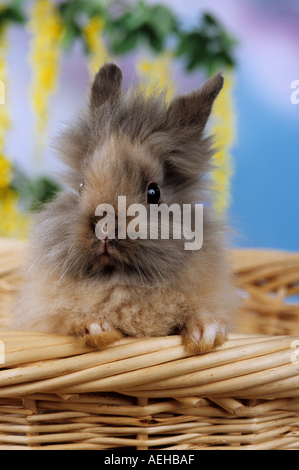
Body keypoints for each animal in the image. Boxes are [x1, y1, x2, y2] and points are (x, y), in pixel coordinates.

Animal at [14, 63, 239, 356]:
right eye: (82, 186)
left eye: (154, 192)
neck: (121, 280)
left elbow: (202, 314)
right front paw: (95, 329)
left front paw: (205, 336)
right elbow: (66, 320)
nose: (105, 227)